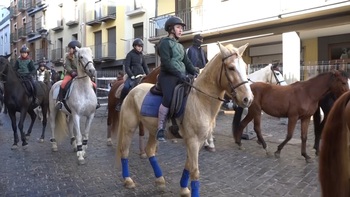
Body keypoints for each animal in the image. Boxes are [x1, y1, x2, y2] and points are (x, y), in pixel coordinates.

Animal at [116, 42, 253, 195]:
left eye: (245, 67)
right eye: (231, 68)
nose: (248, 99)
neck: (200, 100)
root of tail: (133, 90)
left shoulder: (197, 141)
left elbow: (188, 166)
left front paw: (183, 188)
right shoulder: (193, 140)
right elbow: (195, 171)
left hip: (153, 130)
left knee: (149, 150)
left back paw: (160, 181)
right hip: (129, 127)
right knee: (124, 150)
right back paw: (128, 180)